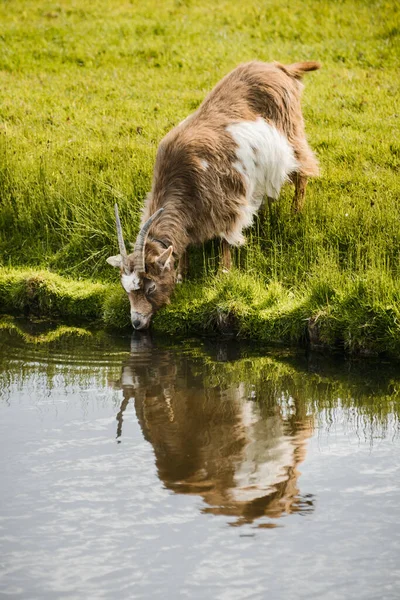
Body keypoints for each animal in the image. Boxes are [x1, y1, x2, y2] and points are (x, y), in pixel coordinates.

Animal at [108, 59, 320, 330]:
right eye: (127, 291)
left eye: (150, 287)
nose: (136, 322)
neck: (182, 180)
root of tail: (278, 67)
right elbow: (185, 245)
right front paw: (181, 274)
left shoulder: (226, 200)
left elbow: (224, 239)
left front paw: (223, 274)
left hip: (292, 137)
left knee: (302, 174)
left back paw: (295, 212)